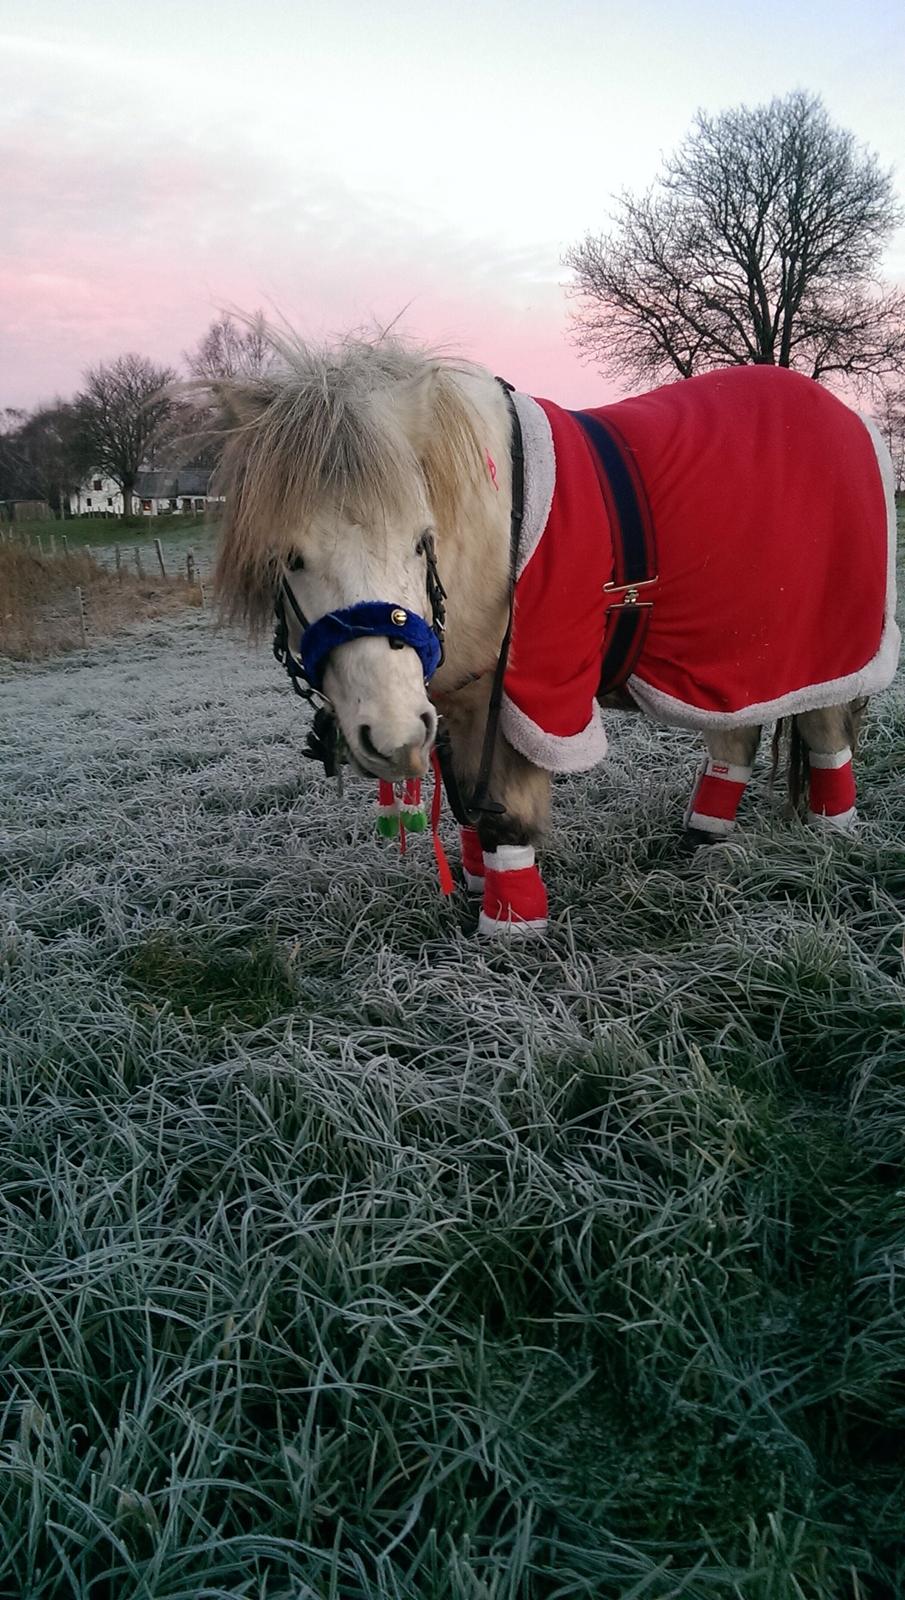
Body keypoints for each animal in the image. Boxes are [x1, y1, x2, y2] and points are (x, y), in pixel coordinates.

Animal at [212, 331, 901, 934]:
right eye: (290, 558)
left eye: (420, 540)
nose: (392, 736)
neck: (491, 523)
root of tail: (852, 419)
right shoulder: (456, 700)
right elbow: (465, 805)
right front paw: (476, 886)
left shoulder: (528, 695)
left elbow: (505, 815)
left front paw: (510, 925)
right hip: (741, 655)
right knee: (737, 734)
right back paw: (704, 838)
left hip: (831, 645)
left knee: (824, 733)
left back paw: (831, 834)